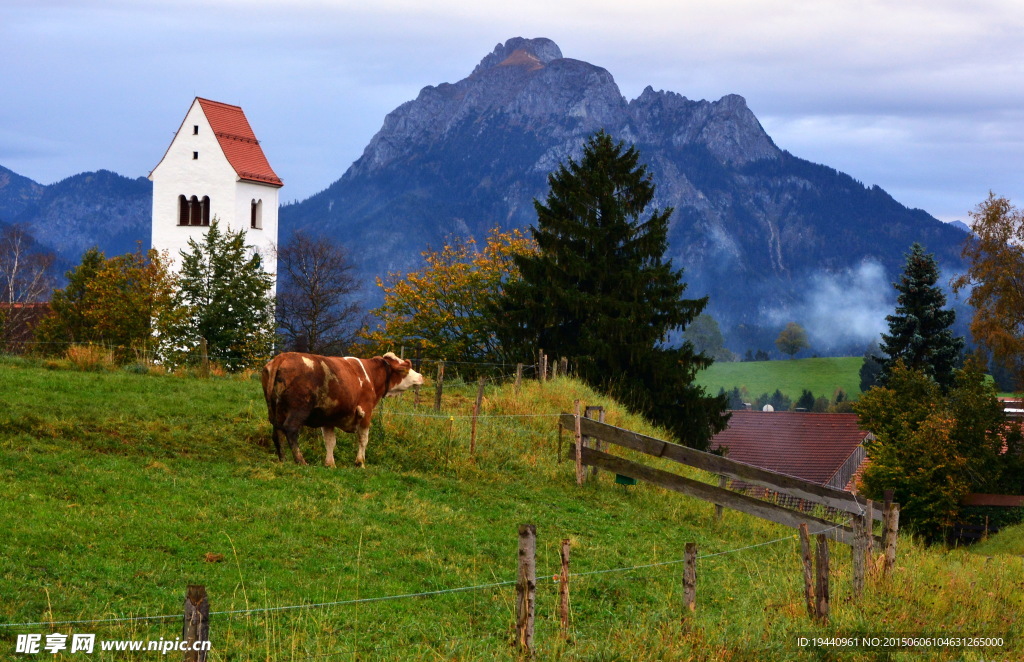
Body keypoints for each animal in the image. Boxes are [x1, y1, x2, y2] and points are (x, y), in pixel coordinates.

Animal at [264, 352, 428, 467]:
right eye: (404, 369)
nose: (420, 376)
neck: (371, 376)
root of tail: (283, 356)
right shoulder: (365, 412)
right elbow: (363, 439)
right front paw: (360, 462)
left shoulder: (328, 418)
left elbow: (330, 441)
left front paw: (330, 463)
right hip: (298, 409)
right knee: (290, 429)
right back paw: (300, 461)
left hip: (276, 410)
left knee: (277, 432)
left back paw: (283, 459)